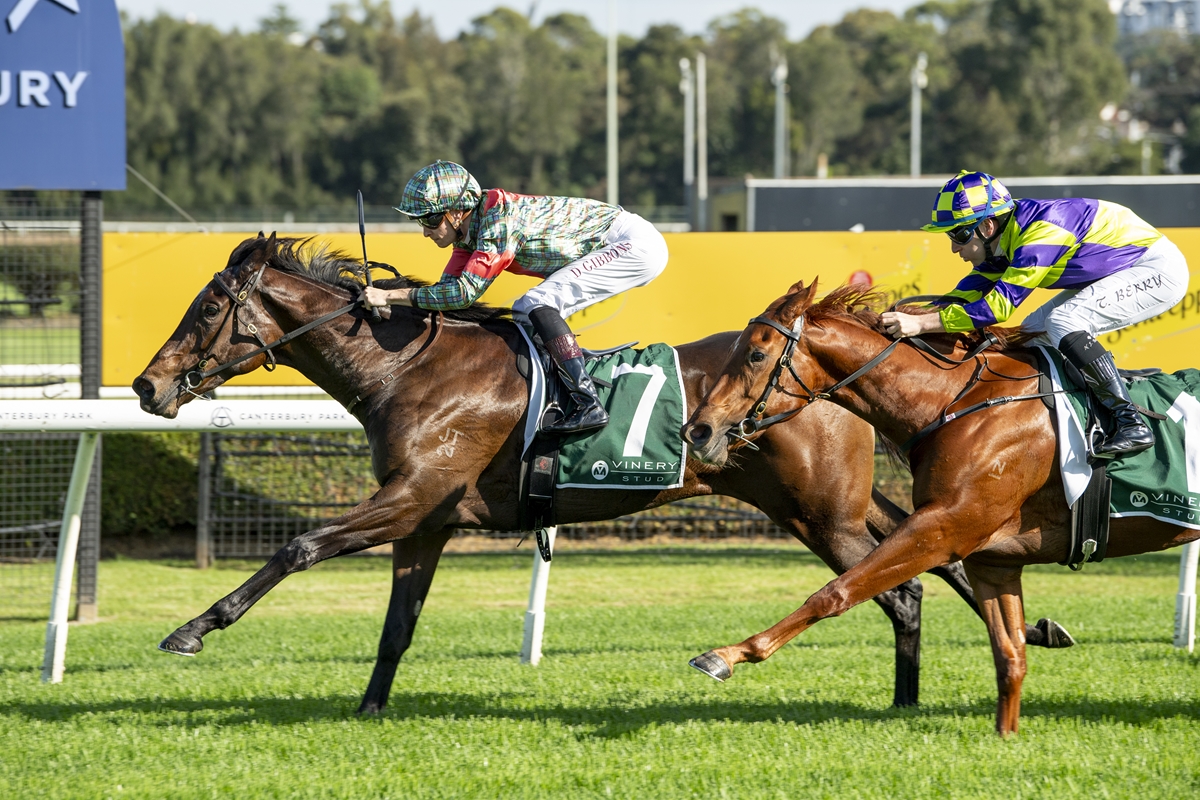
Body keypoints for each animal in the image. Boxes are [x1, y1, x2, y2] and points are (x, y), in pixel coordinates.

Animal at [131, 234, 1069, 714]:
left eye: (207, 308)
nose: (147, 386)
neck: (407, 368)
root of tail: (834, 376)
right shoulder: (425, 521)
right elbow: (396, 627)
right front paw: (367, 711)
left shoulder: (405, 500)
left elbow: (298, 547)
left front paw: (191, 630)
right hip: (812, 503)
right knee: (929, 558)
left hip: (820, 511)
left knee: (903, 586)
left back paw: (905, 700)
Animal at [681, 277, 1200, 735]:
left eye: (755, 353)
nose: (697, 430)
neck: (953, 401)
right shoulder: (992, 558)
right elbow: (1010, 656)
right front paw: (1006, 737)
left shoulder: (943, 528)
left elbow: (836, 592)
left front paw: (726, 656)